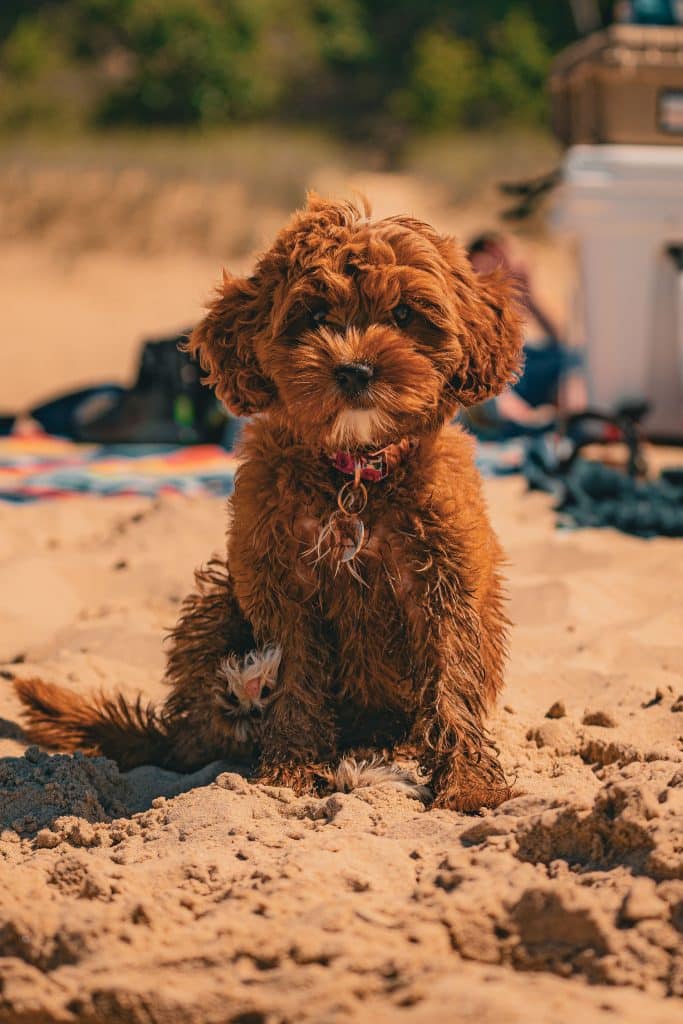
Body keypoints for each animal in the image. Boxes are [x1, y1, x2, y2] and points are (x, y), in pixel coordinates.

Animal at [15, 195, 524, 811]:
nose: (355, 370)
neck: (354, 474)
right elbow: (299, 676)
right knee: (208, 725)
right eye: (314, 315)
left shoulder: (446, 582)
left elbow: (454, 676)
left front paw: (469, 782)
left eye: (405, 314)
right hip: (217, 595)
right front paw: (291, 769)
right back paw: (251, 686)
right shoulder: (280, 578)